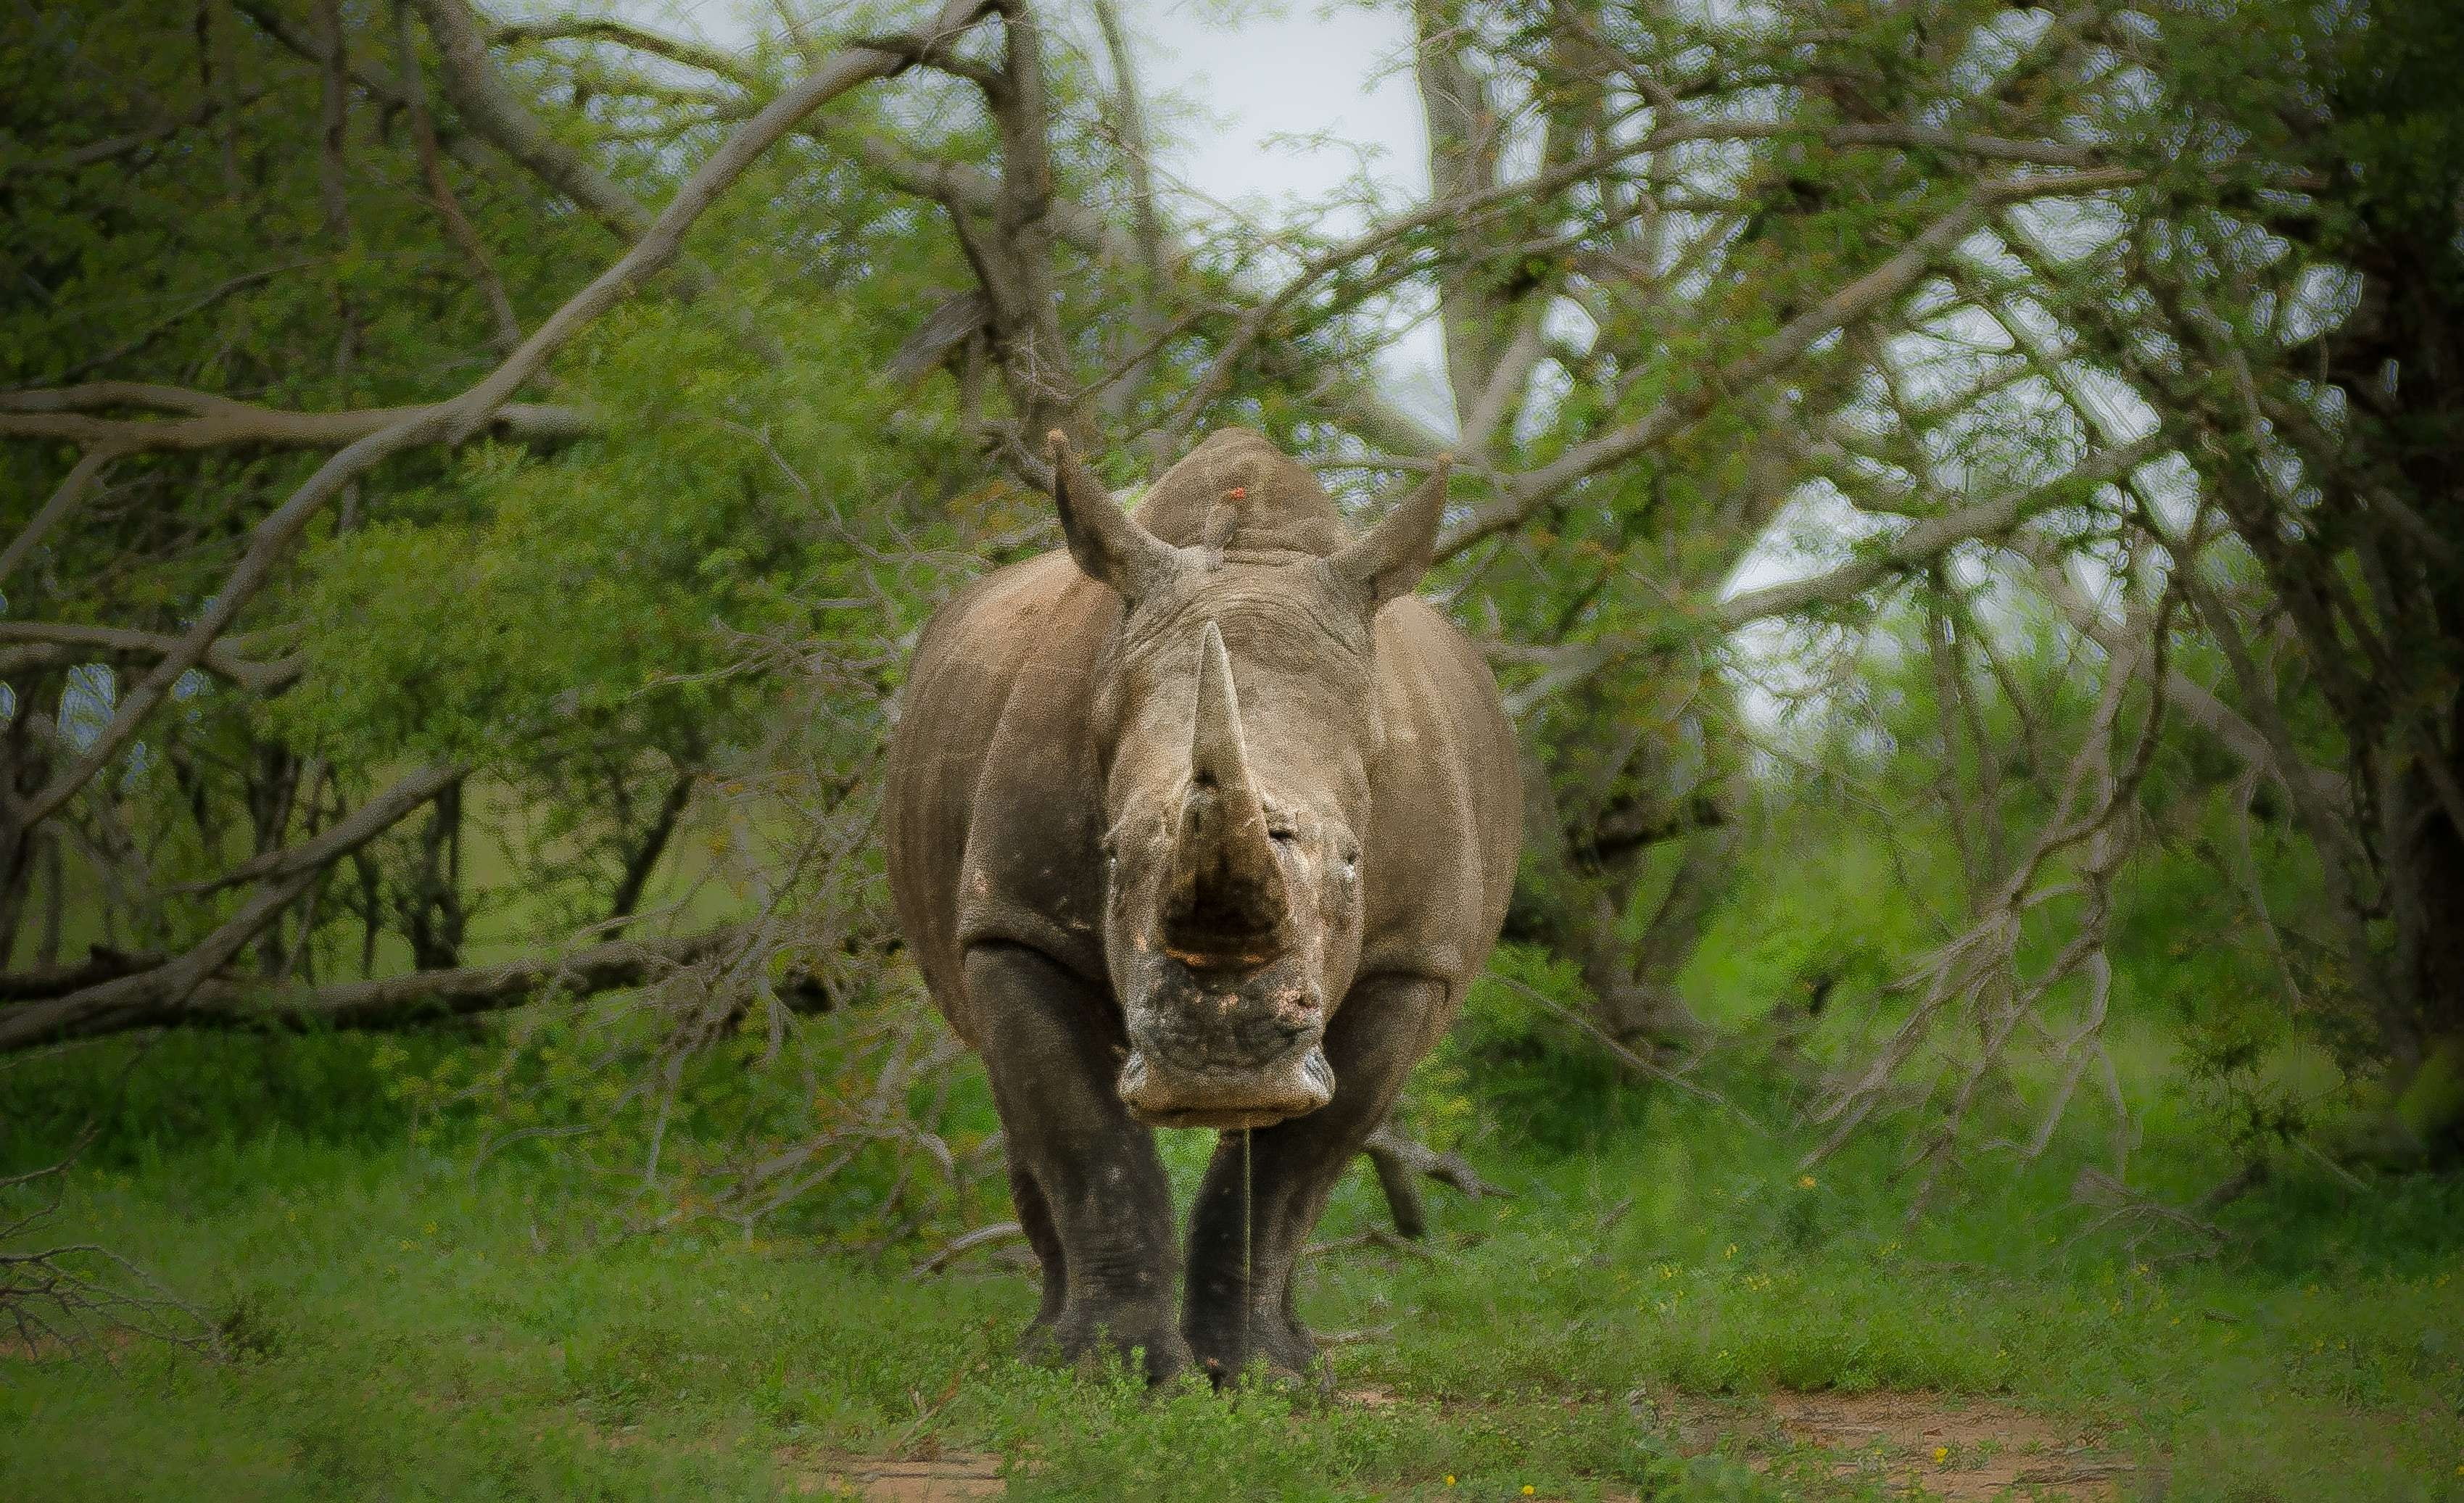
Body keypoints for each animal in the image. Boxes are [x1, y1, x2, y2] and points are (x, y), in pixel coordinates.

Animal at [883, 427, 1519, 1384]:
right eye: (1111, 856)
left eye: (1352, 862)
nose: (1220, 1066)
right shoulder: (1016, 926)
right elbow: (1084, 1135)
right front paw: (1105, 1373)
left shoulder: (1414, 958)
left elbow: (1295, 1166)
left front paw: (1268, 1380)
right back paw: (1040, 1346)